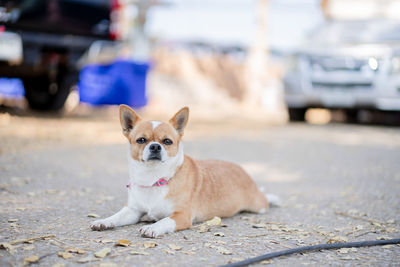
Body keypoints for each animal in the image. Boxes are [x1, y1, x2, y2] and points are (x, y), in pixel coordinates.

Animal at [90, 105, 278, 239]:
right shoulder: (132, 211)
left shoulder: (182, 216)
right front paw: (104, 222)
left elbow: (166, 220)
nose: (155, 146)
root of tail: (244, 171)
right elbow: (116, 217)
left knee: (265, 200)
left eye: (167, 141)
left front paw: (152, 227)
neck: (154, 179)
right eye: (141, 140)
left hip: (257, 206)